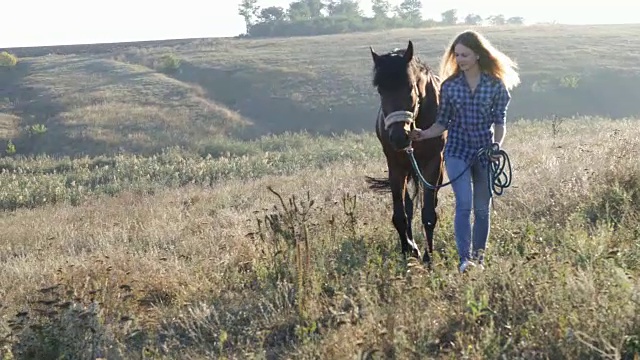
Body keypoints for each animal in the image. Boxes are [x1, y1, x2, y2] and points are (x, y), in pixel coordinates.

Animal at [364, 40, 444, 264]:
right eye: (380, 90)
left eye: (410, 86)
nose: (399, 136)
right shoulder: (396, 166)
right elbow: (400, 214)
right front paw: (408, 249)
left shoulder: (433, 164)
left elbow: (428, 214)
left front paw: (428, 257)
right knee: (408, 205)